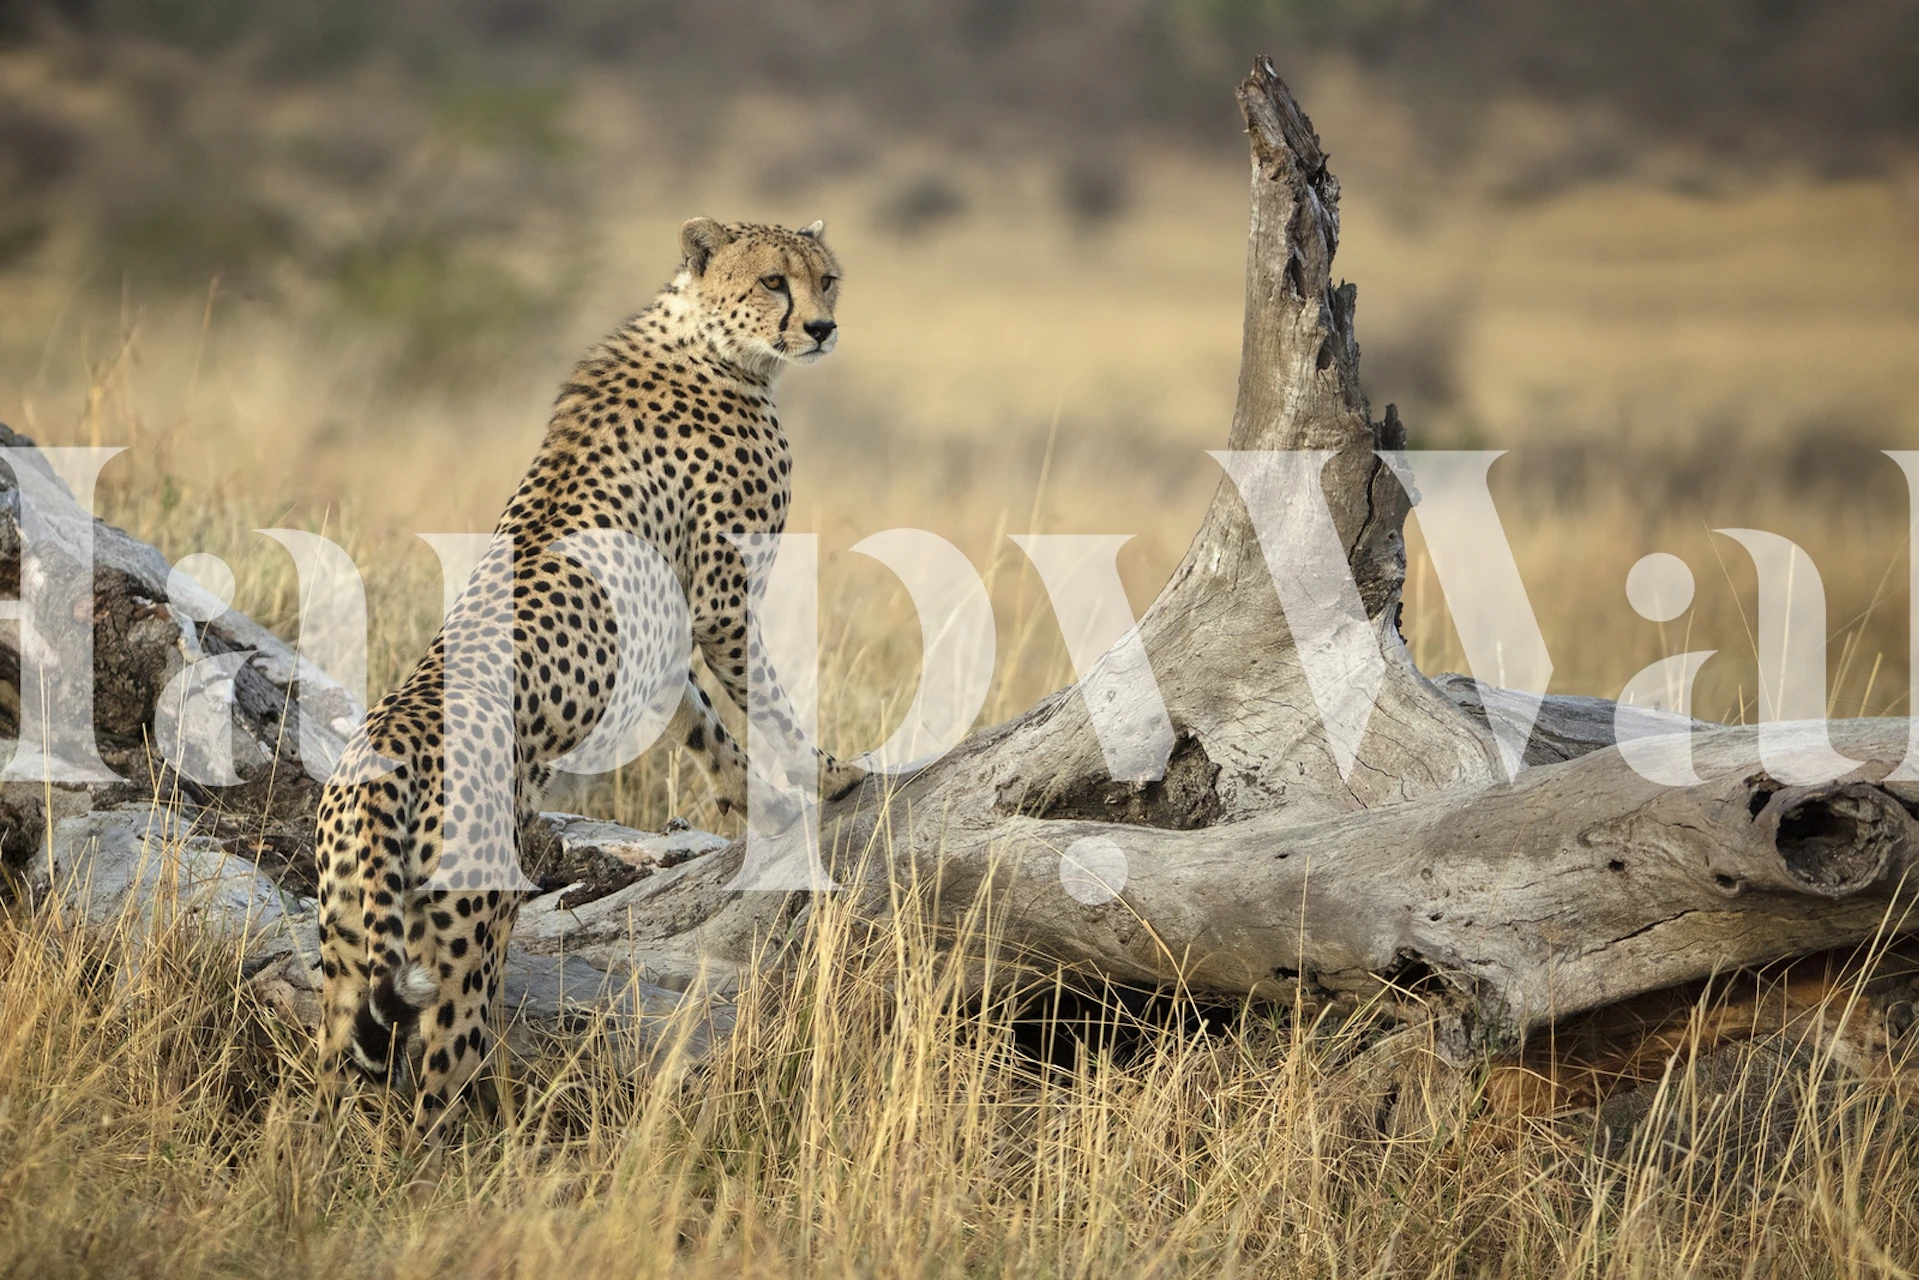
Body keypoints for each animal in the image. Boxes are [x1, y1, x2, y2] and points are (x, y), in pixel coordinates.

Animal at [312, 216, 865, 1139]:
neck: (713, 343)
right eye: (773, 282)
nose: (822, 328)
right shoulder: (722, 603)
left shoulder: (666, 634)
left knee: (327, 1079)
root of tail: (380, 750)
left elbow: (704, 726)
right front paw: (832, 776)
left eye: (826, 278)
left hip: (352, 940)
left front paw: (761, 803)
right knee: (436, 1077)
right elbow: (767, 704)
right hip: (464, 934)